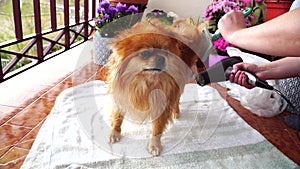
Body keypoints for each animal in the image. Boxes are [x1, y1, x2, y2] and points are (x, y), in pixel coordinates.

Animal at [102, 18, 205, 156]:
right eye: (145, 53)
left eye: (165, 52)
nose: (161, 58)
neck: (144, 82)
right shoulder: (120, 95)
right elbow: (117, 116)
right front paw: (115, 132)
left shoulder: (162, 103)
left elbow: (157, 128)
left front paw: (155, 145)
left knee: (177, 98)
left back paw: (176, 112)